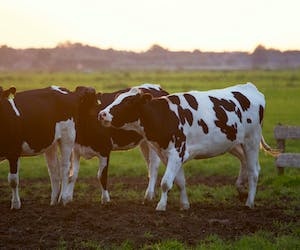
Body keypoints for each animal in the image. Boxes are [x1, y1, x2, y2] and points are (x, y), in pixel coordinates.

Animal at [99, 83, 280, 210]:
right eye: (116, 98)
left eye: (128, 101)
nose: (102, 114)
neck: (165, 116)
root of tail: (249, 87)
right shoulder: (169, 155)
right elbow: (180, 181)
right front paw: (184, 204)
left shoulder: (176, 152)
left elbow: (166, 182)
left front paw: (161, 206)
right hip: (233, 143)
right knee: (244, 162)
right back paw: (241, 189)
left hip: (251, 140)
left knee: (254, 171)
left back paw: (249, 202)